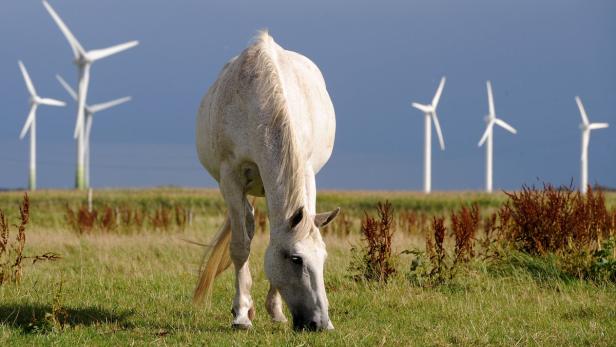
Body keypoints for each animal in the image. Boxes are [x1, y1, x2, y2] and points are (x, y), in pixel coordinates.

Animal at [195, 32, 340, 332]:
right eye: (296, 259)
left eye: (323, 258)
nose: (320, 324)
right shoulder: (231, 178)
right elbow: (240, 246)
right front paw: (241, 314)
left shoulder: (305, 173)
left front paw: (273, 309)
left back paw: (275, 309)